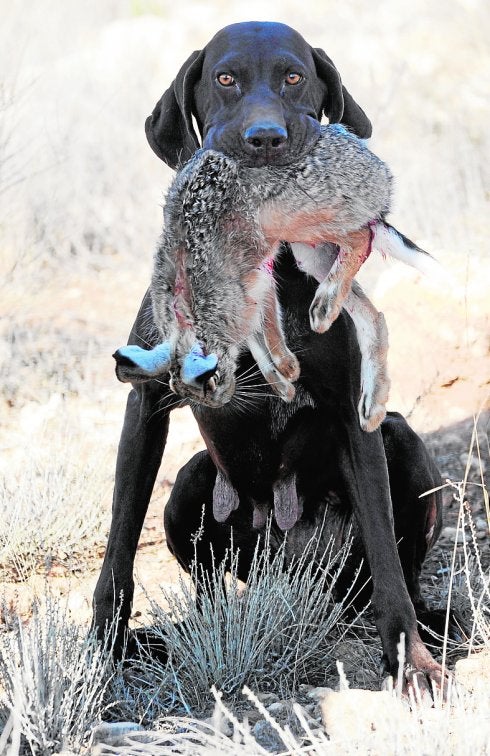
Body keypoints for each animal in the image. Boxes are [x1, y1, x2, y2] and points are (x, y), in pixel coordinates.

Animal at [94, 20, 454, 688]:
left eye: (294, 76)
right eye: (224, 78)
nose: (265, 140)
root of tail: (288, 571)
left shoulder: (349, 416)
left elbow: (387, 554)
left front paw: (409, 664)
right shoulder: (146, 406)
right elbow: (119, 547)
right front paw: (101, 652)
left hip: (404, 442)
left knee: (402, 571)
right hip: (190, 481)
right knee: (210, 592)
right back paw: (201, 629)